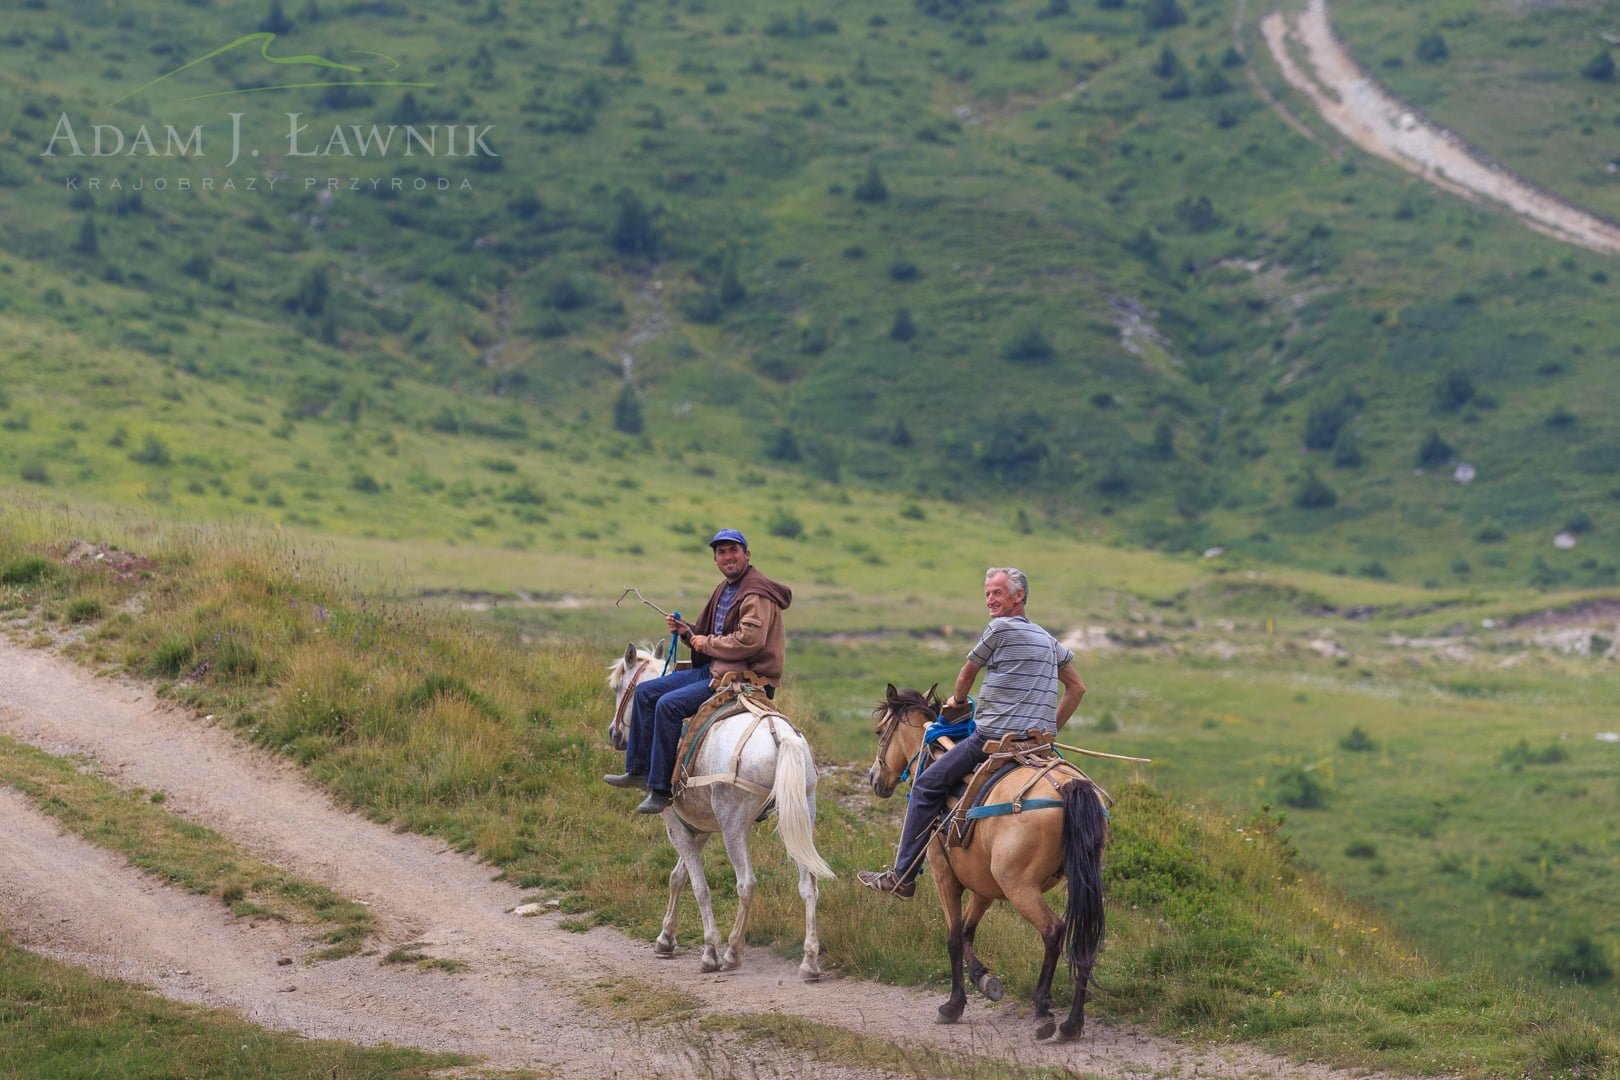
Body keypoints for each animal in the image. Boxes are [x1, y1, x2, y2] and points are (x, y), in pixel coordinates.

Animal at [605, 647, 835, 984]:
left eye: (620, 688)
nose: (615, 733)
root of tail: (780, 736)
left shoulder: (676, 824)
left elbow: (699, 887)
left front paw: (710, 951)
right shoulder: (699, 827)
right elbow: (678, 877)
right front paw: (665, 938)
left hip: (733, 826)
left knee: (746, 884)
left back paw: (731, 952)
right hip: (801, 818)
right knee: (809, 886)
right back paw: (809, 962)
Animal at [868, 683, 1108, 1036]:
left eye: (879, 731)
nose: (875, 779)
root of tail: (1067, 787)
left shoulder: (945, 876)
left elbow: (954, 936)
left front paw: (953, 1005)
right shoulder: (984, 886)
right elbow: (968, 930)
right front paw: (984, 979)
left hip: (1019, 886)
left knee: (1052, 931)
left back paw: (1043, 1008)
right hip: (1081, 881)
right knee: (1083, 939)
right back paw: (1072, 1024)